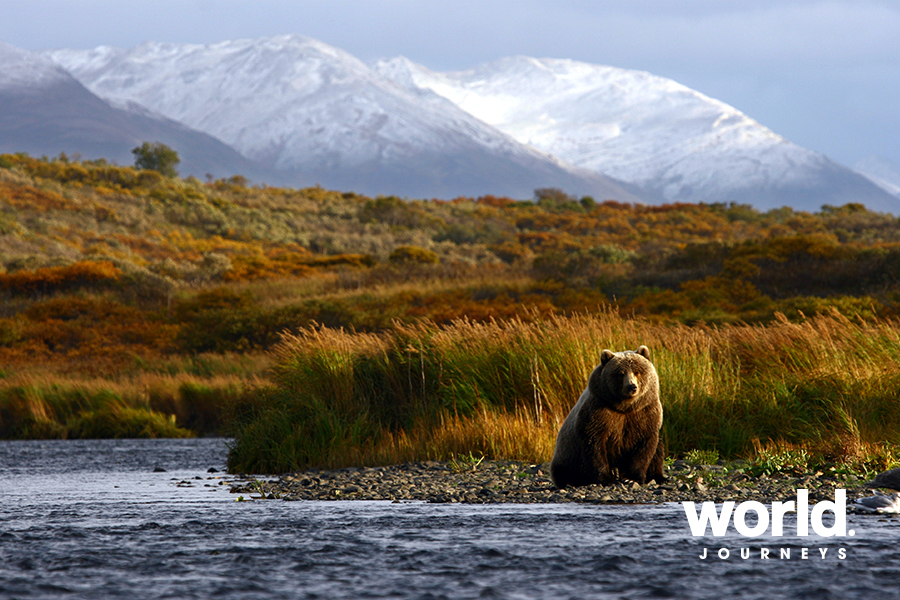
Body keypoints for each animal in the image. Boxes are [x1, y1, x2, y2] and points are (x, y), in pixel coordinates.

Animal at [544, 344, 664, 490]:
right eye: (620, 373)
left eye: (637, 371)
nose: (632, 386)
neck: (625, 407)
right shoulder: (599, 411)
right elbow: (595, 445)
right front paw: (607, 479)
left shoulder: (645, 413)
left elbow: (644, 447)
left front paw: (632, 478)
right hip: (567, 456)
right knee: (564, 471)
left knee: (658, 450)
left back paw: (659, 477)